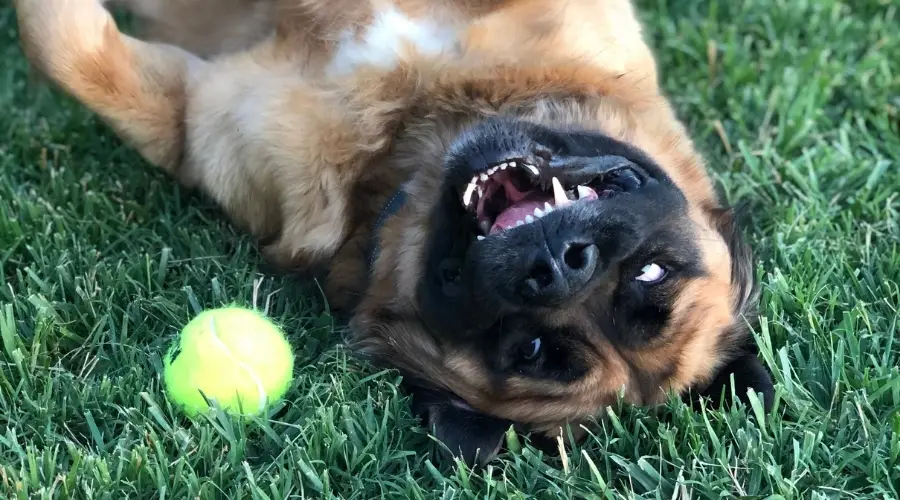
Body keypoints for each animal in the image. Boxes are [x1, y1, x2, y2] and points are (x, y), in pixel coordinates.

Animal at [12, 0, 772, 468]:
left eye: (530, 350)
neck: (412, 128)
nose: (561, 264)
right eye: (652, 273)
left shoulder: (186, 119)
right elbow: (58, 43)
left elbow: (64, 47)